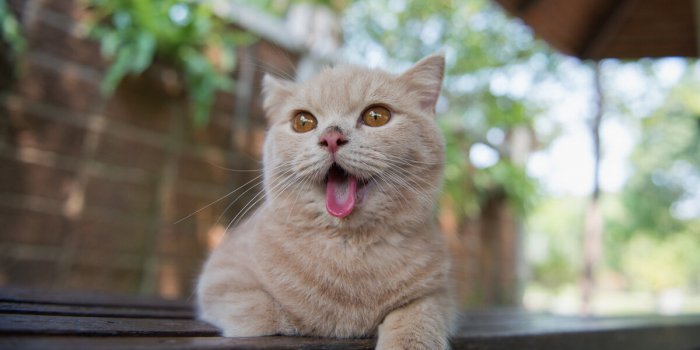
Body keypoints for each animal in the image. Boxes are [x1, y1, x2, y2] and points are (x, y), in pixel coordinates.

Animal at [196, 54, 454, 350]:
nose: (331, 137)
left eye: (376, 116)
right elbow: (265, 316)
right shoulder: (219, 278)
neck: (349, 246)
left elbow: (419, 317)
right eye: (303, 122)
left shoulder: (438, 293)